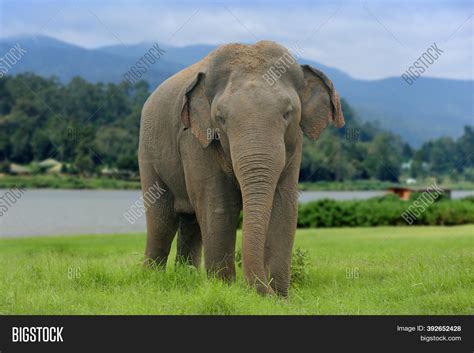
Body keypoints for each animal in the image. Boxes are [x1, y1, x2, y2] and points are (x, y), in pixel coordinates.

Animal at [138, 40, 344, 296]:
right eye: (221, 118)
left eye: (288, 114)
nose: (264, 290)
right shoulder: (195, 140)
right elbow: (219, 206)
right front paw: (224, 289)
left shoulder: (295, 143)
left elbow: (284, 205)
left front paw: (280, 298)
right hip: (147, 153)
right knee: (161, 220)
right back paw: (152, 279)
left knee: (190, 223)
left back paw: (186, 278)